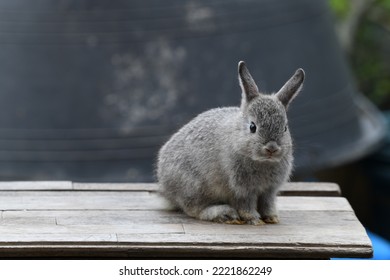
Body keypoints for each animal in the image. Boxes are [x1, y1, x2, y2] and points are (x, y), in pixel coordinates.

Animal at [155, 61, 304, 225]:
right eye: (253, 127)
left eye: (285, 128)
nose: (272, 148)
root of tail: (165, 185)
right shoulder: (242, 189)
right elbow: (246, 205)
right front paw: (254, 219)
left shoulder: (269, 190)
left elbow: (267, 203)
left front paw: (271, 218)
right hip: (193, 186)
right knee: (194, 209)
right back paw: (225, 214)